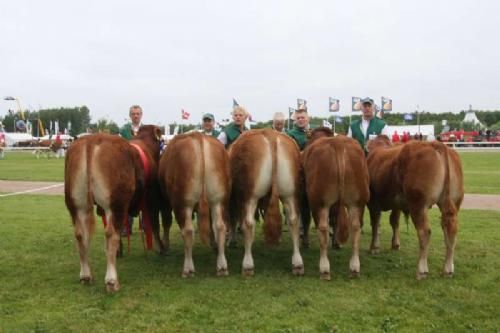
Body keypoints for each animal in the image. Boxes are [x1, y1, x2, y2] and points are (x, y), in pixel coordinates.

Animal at [64, 124, 161, 290]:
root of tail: (92, 139)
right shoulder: (151, 200)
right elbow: (153, 227)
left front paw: (120, 251)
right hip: (116, 204)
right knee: (111, 234)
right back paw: (111, 280)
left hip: (76, 204)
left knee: (80, 234)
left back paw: (85, 275)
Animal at [159, 131, 229, 276]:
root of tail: (199, 137)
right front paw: (213, 244)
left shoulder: (165, 202)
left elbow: (166, 222)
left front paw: (165, 246)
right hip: (218, 201)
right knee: (220, 226)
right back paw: (222, 267)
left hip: (183, 203)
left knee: (187, 230)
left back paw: (188, 269)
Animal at [229, 129, 302, 274]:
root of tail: (270, 134)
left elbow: (235, 220)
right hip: (290, 194)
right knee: (294, 220)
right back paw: (297, 263)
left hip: (250, 196)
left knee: (248, 224)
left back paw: (247, 265)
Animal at [302, 134, 370, 278]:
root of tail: (338, 142)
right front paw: (336, 243)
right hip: (357, 202)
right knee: (355, 227)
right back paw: (354, 267)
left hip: (320, 202)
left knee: (322, 228)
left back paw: (324, 268)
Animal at [364, 135, 464, 278]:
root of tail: (436, 145)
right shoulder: (396, 204)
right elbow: (394, 221)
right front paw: (395, 244)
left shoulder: (373, 202)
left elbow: (375, 224)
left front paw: (374, 247)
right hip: (453, 202)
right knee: (451, 230)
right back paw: (448, 269)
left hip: (418, 204)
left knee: (424, 232)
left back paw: (421, 270)